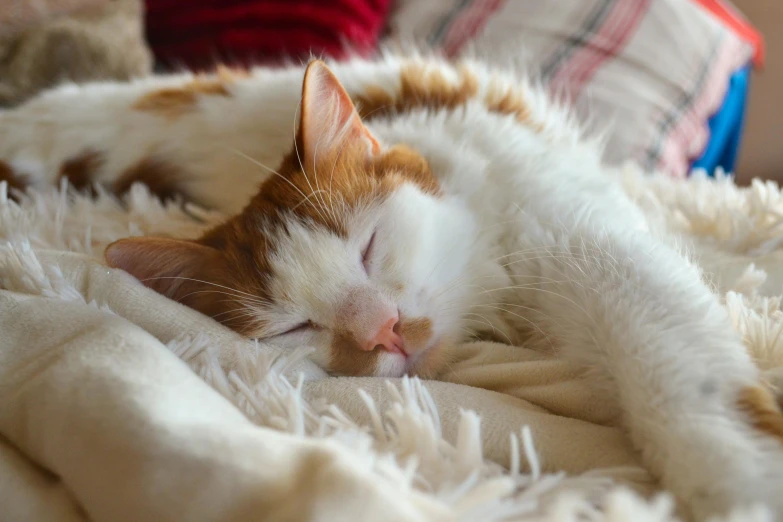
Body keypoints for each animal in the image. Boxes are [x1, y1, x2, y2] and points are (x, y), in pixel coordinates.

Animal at [1, 54, 783, 516]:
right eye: (293, 327)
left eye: (369, 248)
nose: (381, 327)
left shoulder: (593, 248)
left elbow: (682, 376)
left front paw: (741, 486)